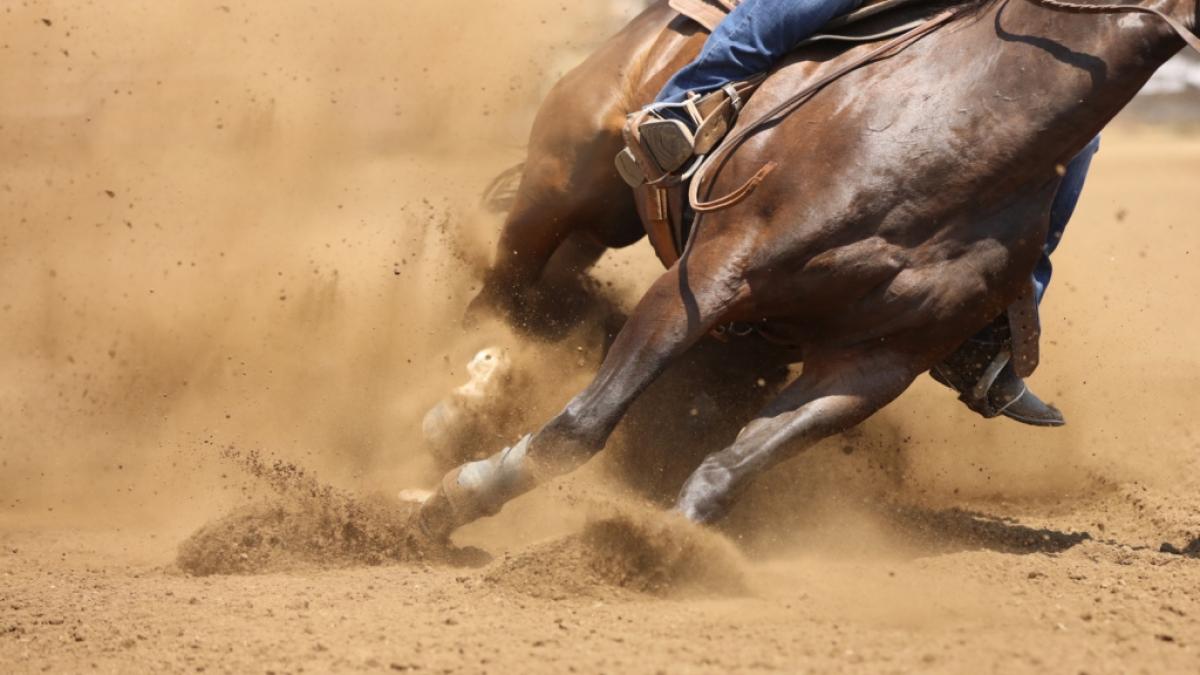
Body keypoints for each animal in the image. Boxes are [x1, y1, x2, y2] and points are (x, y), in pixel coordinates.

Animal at [408, 0, 1198, 542]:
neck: (961, 127)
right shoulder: (711, 276)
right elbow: (583, 425)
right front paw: (460, 496)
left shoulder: (877, 361)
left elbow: (733, 465)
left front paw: (667, 545)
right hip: (559, 194)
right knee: (503, 298)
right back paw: (460, 405)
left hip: (708, 307)